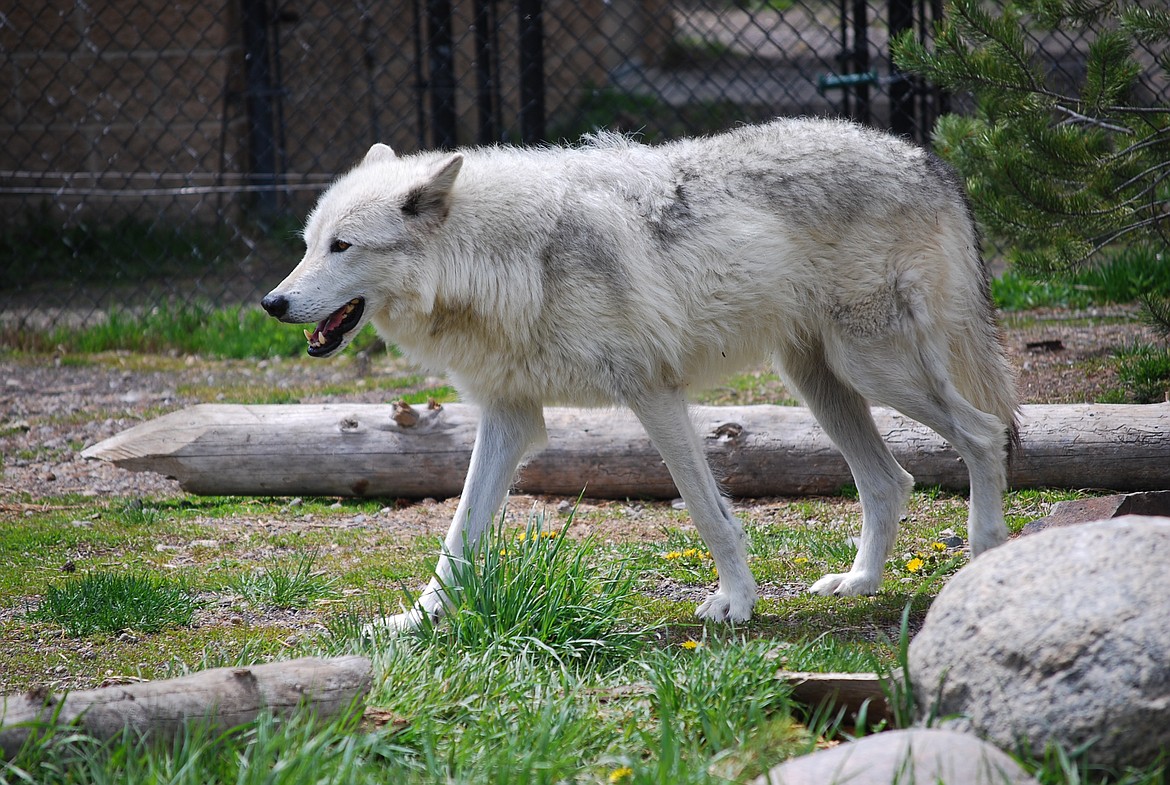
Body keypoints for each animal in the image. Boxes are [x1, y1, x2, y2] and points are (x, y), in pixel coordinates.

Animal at [263, 118, 1015, 631]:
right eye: (308, 244)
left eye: (343, 246)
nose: (272, 303)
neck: (505, 260)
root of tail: (928, 159)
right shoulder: (509, 416)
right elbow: (459, 535)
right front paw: (417, 620)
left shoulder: (654, 395)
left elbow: (710, 513)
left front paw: (736, 602)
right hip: (820, 384)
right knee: (892, 480)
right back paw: (859, 583)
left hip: (875, 370)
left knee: (984, 432)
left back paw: (984, 552)